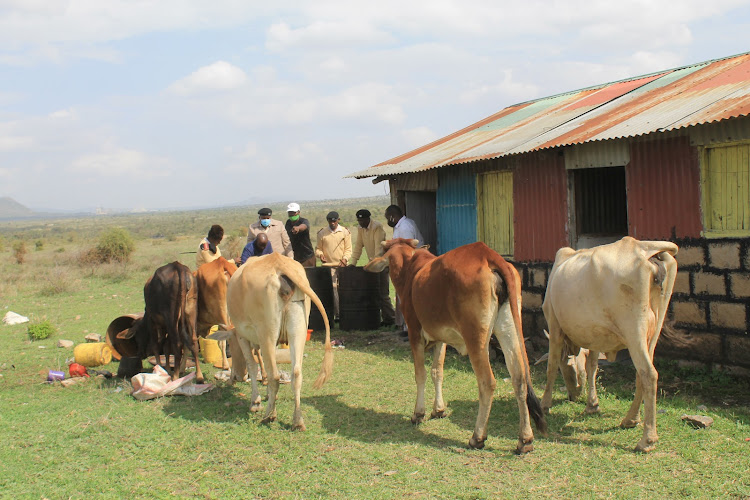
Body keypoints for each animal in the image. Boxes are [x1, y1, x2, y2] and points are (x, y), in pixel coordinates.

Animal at [209, 254, 332, 430]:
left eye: (231, 345)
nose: (237, 377)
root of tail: (279, 265)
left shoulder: (242, 336)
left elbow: (253, 366)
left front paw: (256, 401)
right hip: (298, 330)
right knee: (296, 373)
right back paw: (297, 421)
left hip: (266, 332)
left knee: (275, 376)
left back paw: (269, 415)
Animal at [364, 238, 548, 454]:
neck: (411, 270)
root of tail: (488, 255)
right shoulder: (441, 338)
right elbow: (437, 372)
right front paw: (438, 409)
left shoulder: (415, 333)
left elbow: (421, 374)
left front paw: (419, 413)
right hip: (508, 327)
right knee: (519, 379)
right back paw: (525, 439)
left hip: (475, 338)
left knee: (487, 382)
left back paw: (477, 437)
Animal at [540, 236, 680, 452]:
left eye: (568, 370)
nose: (573, 396)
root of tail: (643, 248)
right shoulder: (595, 334)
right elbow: (592, 366)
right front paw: (592, 405)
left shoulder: (554, 324)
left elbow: (551, 366)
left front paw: (545, 404)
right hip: (654, 329)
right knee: (642, 373)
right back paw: (631, 419)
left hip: (633, 328)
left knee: (649, 373)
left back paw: (647, 439)